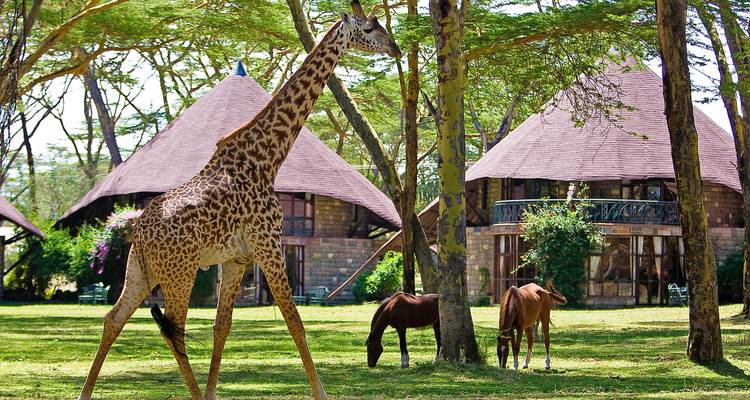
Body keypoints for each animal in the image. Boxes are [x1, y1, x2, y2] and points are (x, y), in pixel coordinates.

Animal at [77, 2, 400, 400]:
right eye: (370, 28)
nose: (395, 48)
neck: (267, 159)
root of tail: (139, 233)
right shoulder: (269, 244)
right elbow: (295, 321)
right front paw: (321, 393)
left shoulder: (236, 259)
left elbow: (223, 327)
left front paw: (213, 391)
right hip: (180, 272)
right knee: (173, 330)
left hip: (139, 271)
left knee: (113, 320)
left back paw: (86, 392)